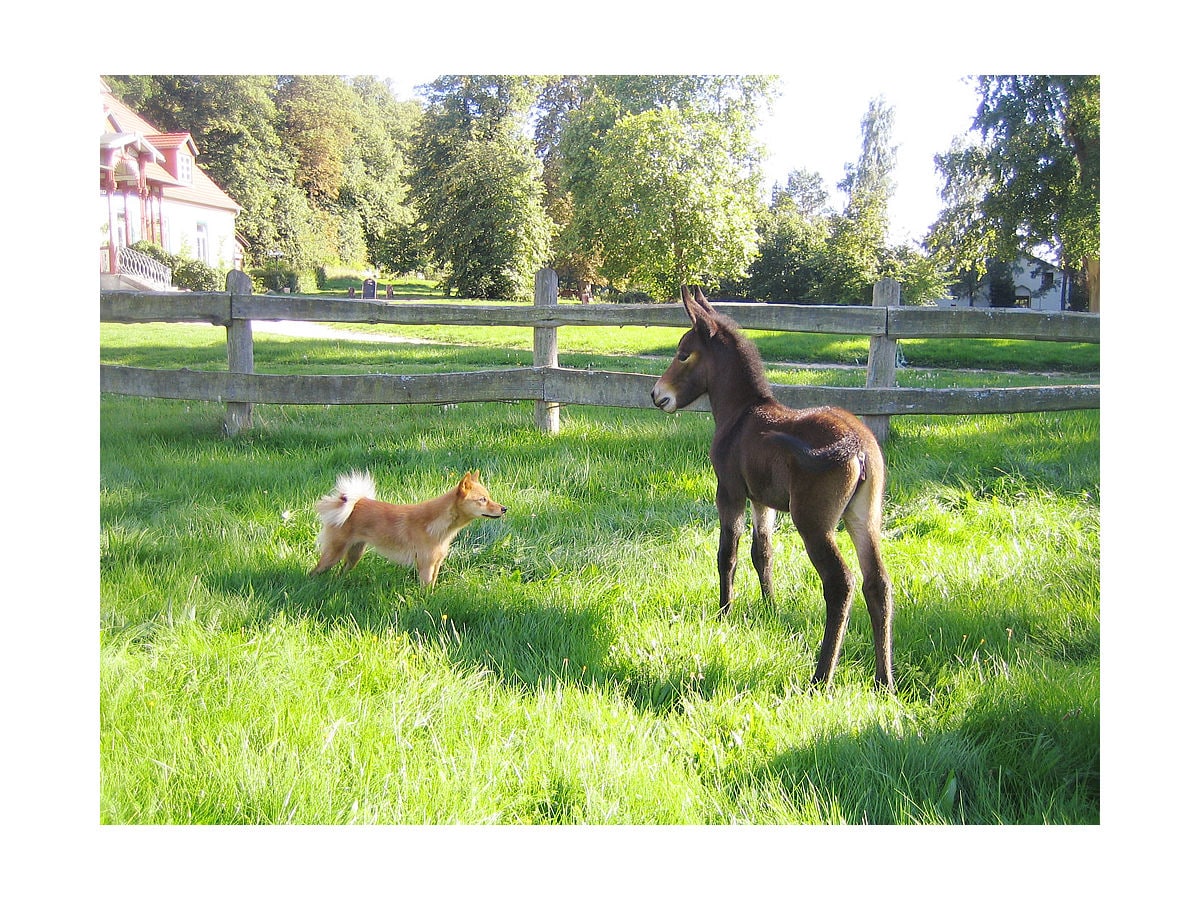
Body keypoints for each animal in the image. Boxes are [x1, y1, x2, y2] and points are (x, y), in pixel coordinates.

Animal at [312, 472, 504, 592]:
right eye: (482, 500)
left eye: (489, 497)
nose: (504, 509)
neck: (436, 523)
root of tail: (351, 502)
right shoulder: (425, 566)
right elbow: (425, 589)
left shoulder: (436, 564)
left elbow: (432, 587)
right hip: (333, 554)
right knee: (315, 572)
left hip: (354, 554)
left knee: (341, 571)